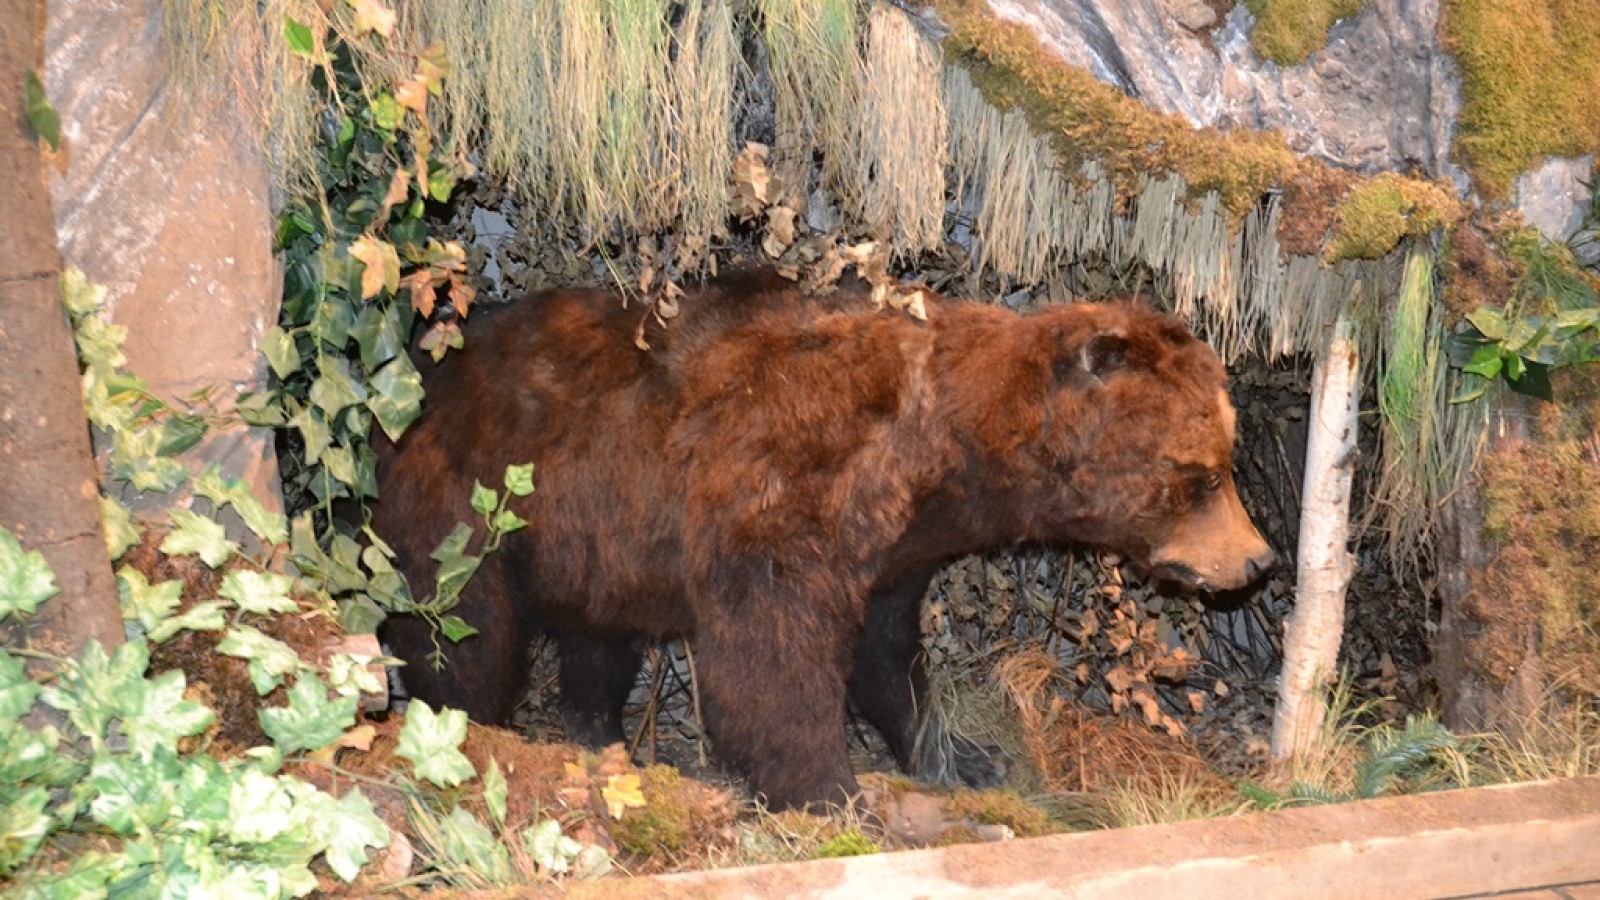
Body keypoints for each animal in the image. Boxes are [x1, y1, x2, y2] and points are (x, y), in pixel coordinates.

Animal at [368, 265, 1267, 807]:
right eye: (1203, 474)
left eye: (1228, 460)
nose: (1257, 560)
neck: (939, 447)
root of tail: (419, 376)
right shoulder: (790, 487)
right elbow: (775, 651)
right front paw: (827, 784)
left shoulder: (896, 550)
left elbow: (890, 657)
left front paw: (964, 755)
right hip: (468, 512)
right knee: (461, 636)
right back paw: (468, 724)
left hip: (598, 542)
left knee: (598, 644)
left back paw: (600, 734)